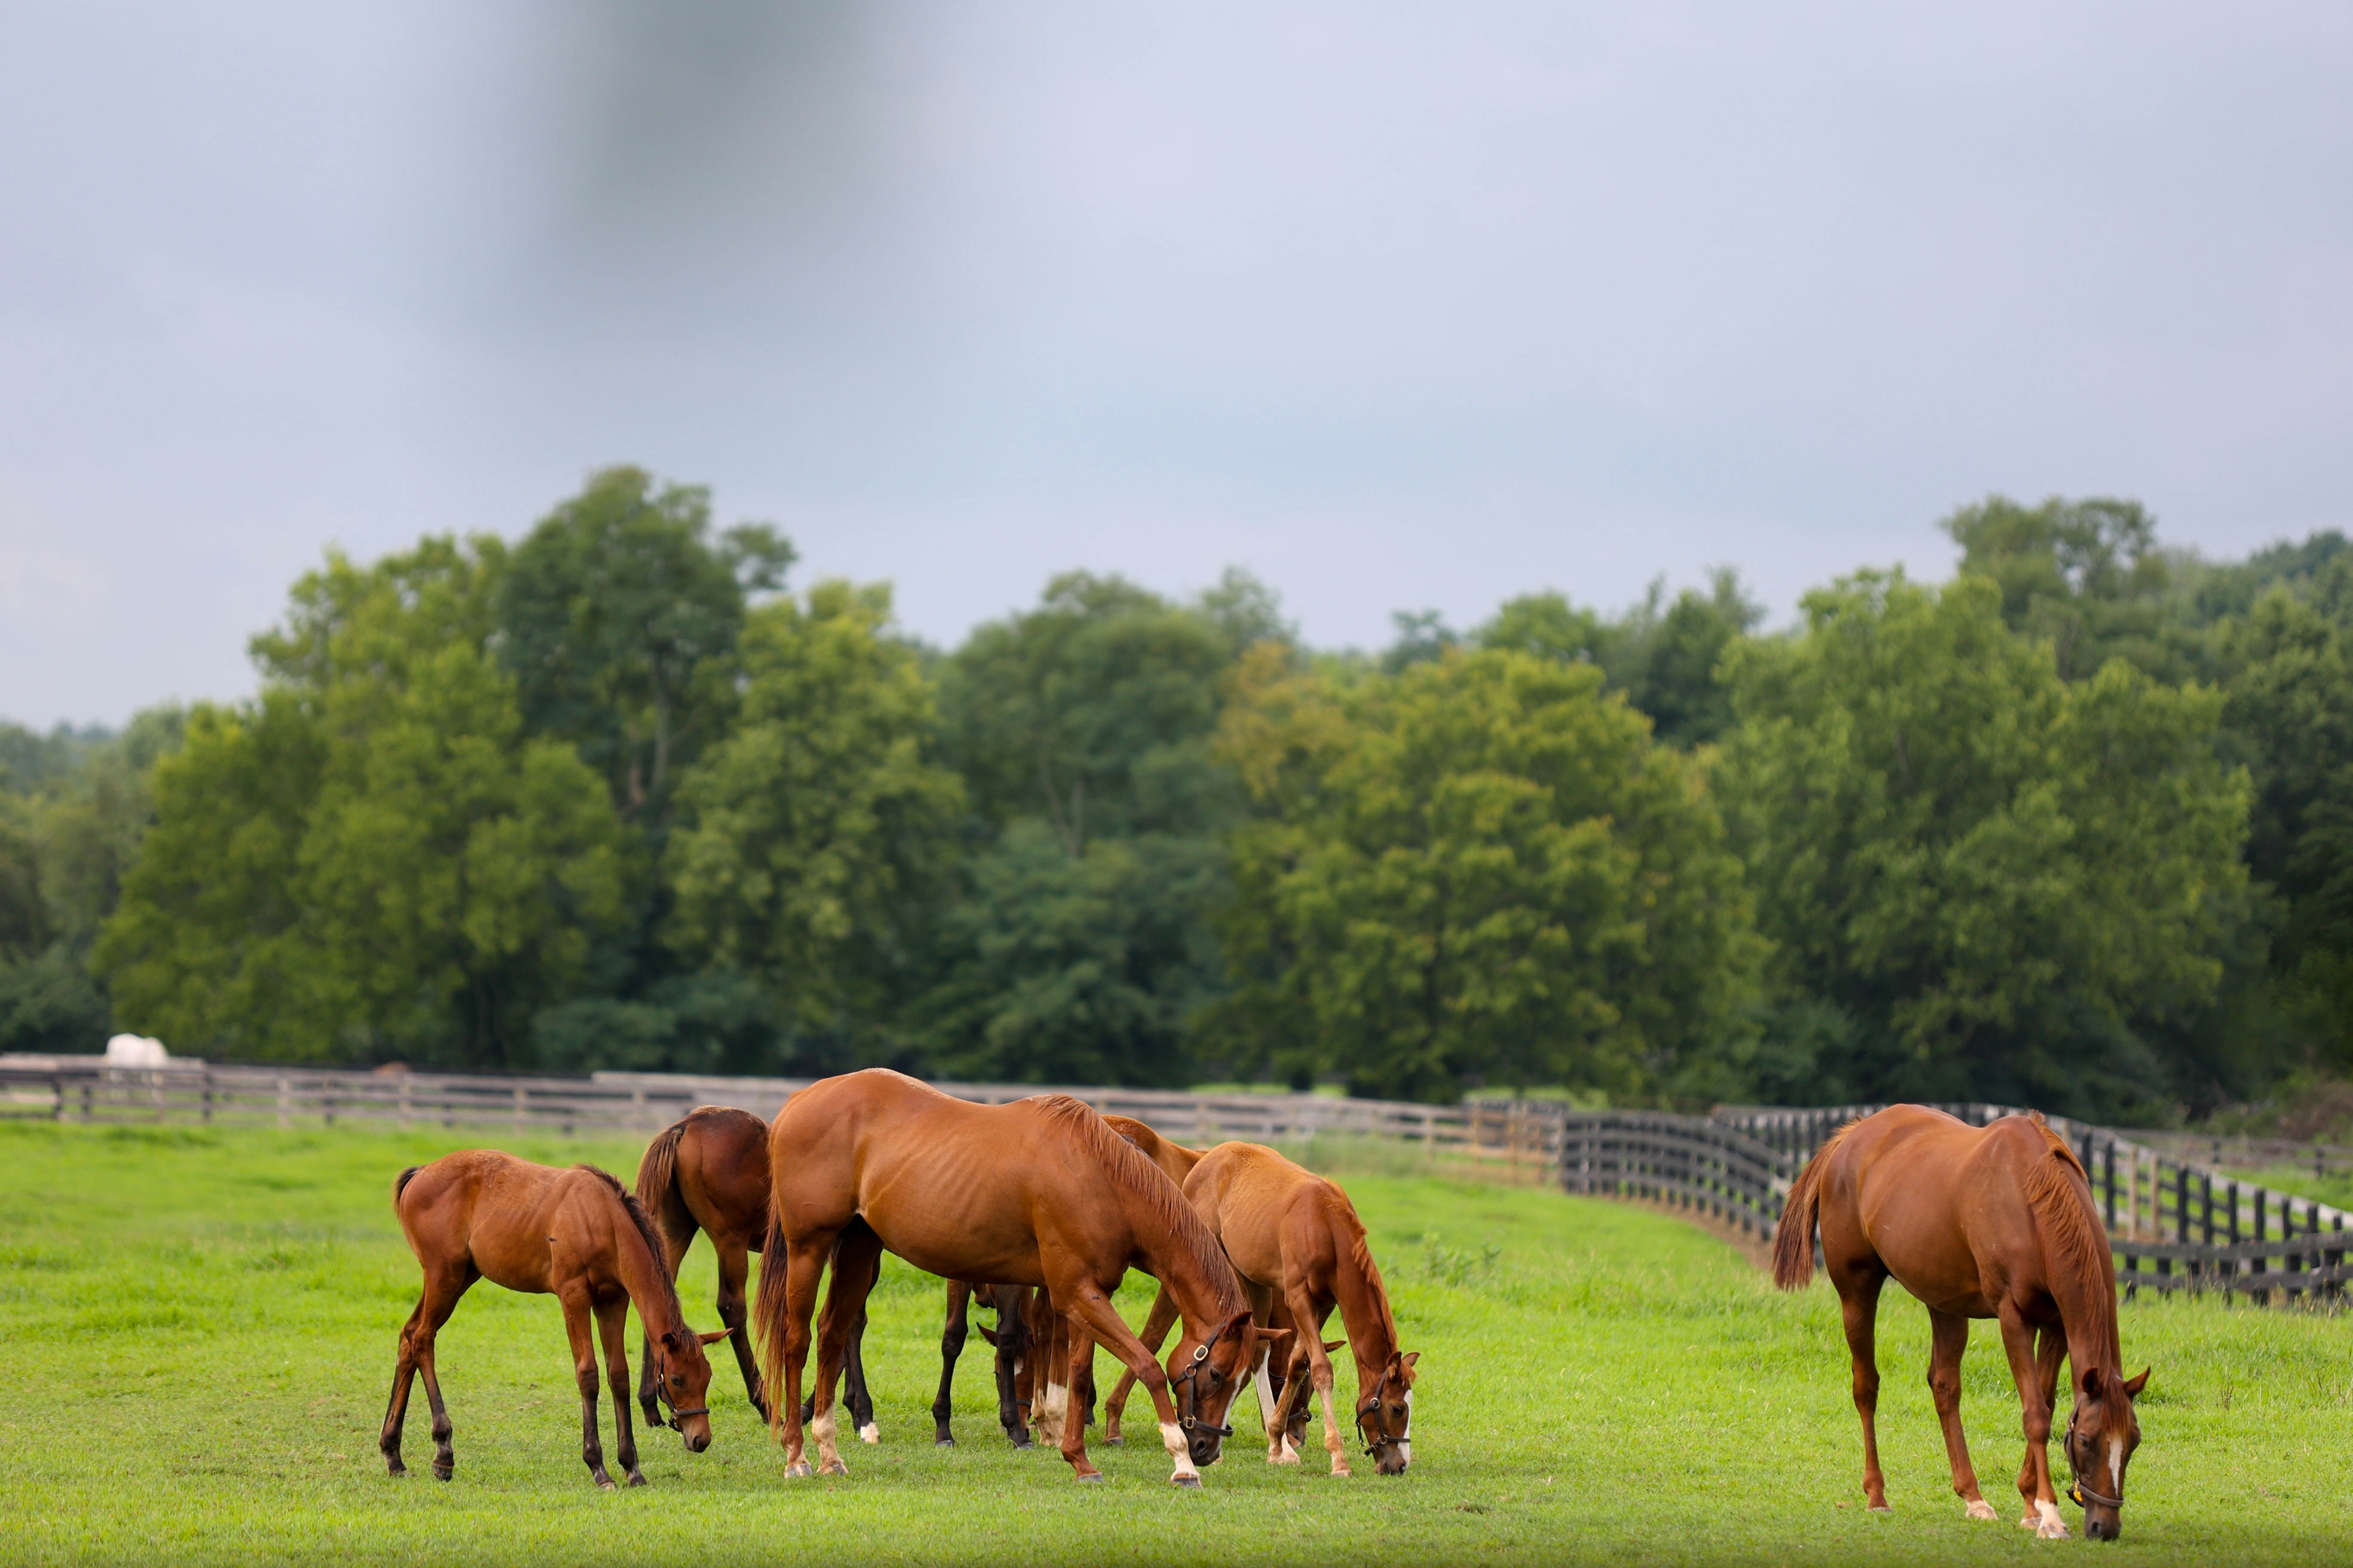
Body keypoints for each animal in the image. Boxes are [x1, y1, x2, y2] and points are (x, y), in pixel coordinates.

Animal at [381, 1147, 724, 1494]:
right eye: (677, 1380)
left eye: (707, 1377)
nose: (701, 1438)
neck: (602, 1219)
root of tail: (421, 1173)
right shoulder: (573, 1296)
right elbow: (588, 1375)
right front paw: (599, 1468)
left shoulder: (613, 1301)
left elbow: (618, 1376)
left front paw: (632, 1467)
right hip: (444, 1276)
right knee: (422, 1338)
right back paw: (443, 1453)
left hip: (461, 1277)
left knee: (408, 1336)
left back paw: (394, 1455)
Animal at [757, 1072, 1289, 1494]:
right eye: (1215, 1374)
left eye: (1243, 1380)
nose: (1206, 1448)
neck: (1096, 1176)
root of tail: (799, 1100)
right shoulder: (1078, 1294)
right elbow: (1147, 1365)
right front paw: (1179, 1463)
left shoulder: (1087, 1295)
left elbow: (1077, 1374)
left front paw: (1078, 1458)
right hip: (810, 1249)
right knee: (797, 1340)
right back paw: (797, 1455)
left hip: (857, 1250)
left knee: (831, 1335)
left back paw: (830, 1453)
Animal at [1779, 1109, 2155, 1542]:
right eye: (2087, 1441)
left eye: (2133, 1442)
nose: (2104, 1527)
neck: (2031, 1199)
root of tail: (1850, 1136)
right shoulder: (2014, 1318)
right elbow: (2035, 1416)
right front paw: (2049, 1515)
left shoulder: (2057, 1325)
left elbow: (2045, 1401)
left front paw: (2029, 1505)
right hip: (1857, 1294)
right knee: (1866, 1386)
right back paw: (1877, 1496)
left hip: (1945, 1304)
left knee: (1944, 1387)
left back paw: (1973, 1497)